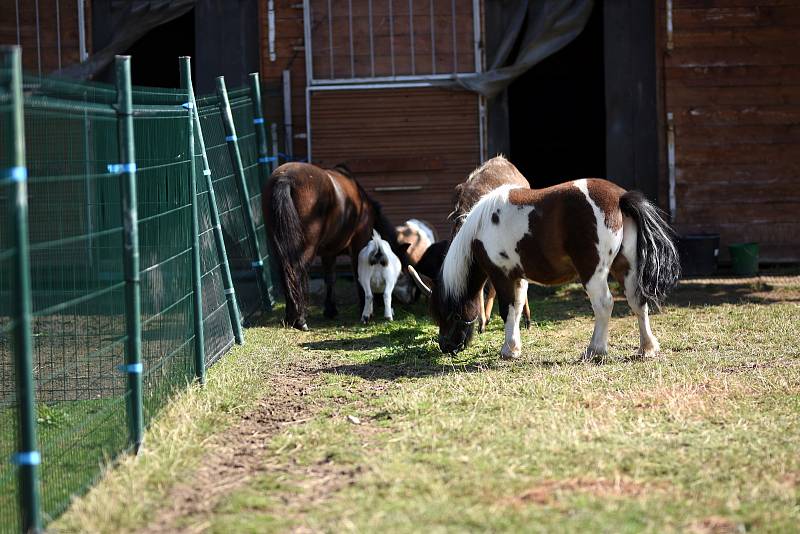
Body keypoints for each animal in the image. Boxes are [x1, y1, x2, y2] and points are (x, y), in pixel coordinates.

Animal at [266, 163, 410, 330]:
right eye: (402, 273)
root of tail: (285, 178)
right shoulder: (358, 246)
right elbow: (358, 277)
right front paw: (365, 310)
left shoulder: (328, 252)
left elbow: (330, 278)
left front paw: (330, 310)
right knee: (295, 272)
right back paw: (300, 320)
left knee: (285, 274)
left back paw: (290, 318)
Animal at [410, 179, 680, 360]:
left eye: (448, 314)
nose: (446, 347)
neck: (480, 227)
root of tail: (619, 198)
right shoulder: (519, 277)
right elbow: (518, 308)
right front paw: (515, 347)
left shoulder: (501, 275)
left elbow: (507, 310)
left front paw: (508, 350)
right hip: (626, 268)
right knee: (638, 302)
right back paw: (647, 348)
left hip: (594, 273)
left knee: (604, 304)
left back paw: (595, 350)